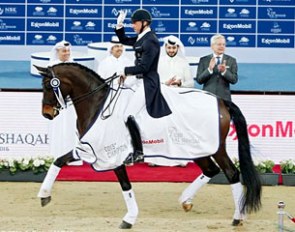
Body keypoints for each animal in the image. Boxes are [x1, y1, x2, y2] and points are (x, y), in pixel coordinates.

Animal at [34, 63, 262, 228]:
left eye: (47, 86)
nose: (46, 114)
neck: (97, 104)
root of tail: (221, 102)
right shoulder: (92, 150)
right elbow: (60, 161)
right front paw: (44, 196)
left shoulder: (104, 151)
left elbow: (124, 185)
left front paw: (129, 219)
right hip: (198, 149)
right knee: (211, 170)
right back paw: (186, 200)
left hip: (215, 148)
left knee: (231, 173)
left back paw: (237, 217)